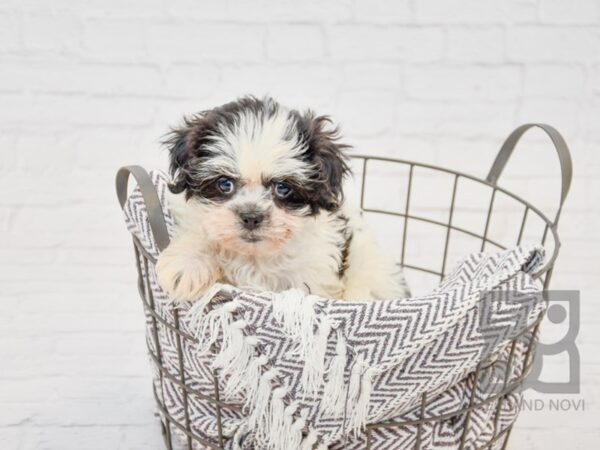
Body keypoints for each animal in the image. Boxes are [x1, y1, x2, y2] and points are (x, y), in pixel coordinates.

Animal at [155, 98, 410, 302]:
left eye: (283, 188)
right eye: (225, 184)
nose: (251, 217)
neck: (255, 256)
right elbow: (198, 230)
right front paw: (187, 266)